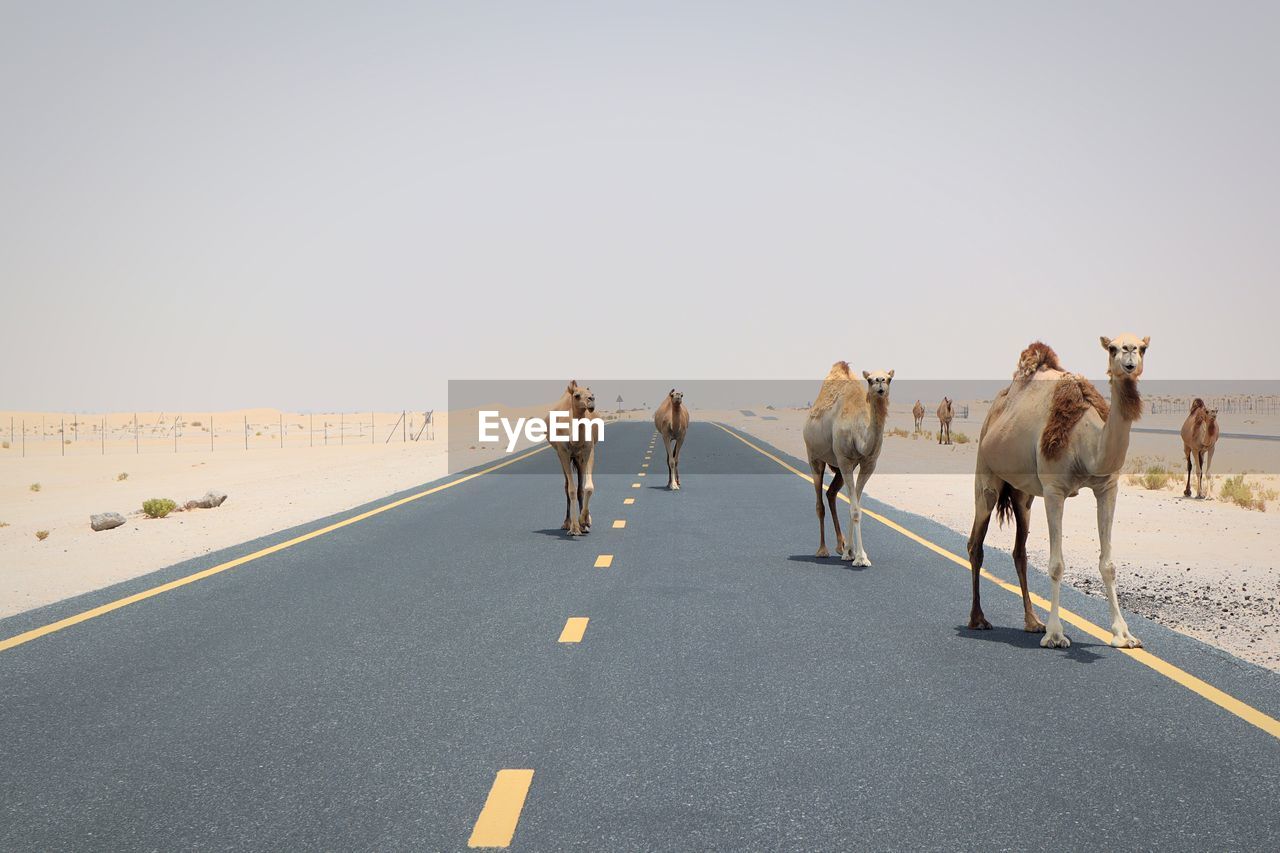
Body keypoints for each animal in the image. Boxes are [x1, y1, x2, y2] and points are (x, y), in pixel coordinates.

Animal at [803, 361, 896, 563]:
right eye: (869, 379)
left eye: (889, 378)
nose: (880, 382)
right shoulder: (844, 459)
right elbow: (854, 509)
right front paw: (859, 559)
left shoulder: (868, 463)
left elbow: (857, 505)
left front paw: (852, 552)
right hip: (814, 456)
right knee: (819, 504)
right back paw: (822, 550)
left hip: (837, 467)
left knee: (831, 494)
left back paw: (841, 546)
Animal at [967, 335, 1152, 648]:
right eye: (1113, 348)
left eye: (1142, 347)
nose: (1129, 360)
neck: (1087, 444)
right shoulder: (1054, 490)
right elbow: (1056, 565)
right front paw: (1055, 634)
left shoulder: (1107, 488)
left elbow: (1108, 564)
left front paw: (1123, 634)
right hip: (986, 472)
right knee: (975, 544)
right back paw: (978, 619)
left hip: (1023, 495)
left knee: (1020, 552)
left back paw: (1032, 621)